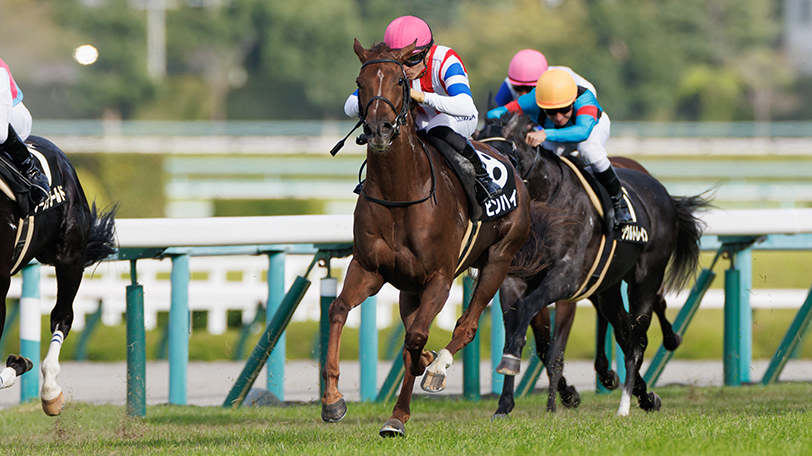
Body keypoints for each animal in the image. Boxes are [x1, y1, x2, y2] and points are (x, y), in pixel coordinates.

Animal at [318, 41, 540, 436]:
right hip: (409, 286)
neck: (400, 192)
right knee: (410, 325)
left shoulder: (440, 278)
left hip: (499, 258)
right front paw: (332, 400)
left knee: (466, 325)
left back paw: (438, 366)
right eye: (360, 82)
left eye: (400, 81)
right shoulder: (368, 268)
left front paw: (398, 416)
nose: (378, 128)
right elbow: (339, 310)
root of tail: (512, 161)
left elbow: (417, 336)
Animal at [492, 112, 708, 416]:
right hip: (609, 288)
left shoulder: (565, 280)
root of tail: (661, 190)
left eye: (505, 156)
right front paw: (505, 402)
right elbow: (521, 327)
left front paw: (553, 404)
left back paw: (627, 402)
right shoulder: (515, 279)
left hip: (645, 277)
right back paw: (641, 394)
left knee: (637, 340)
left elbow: (544, 333)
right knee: (626, 332)